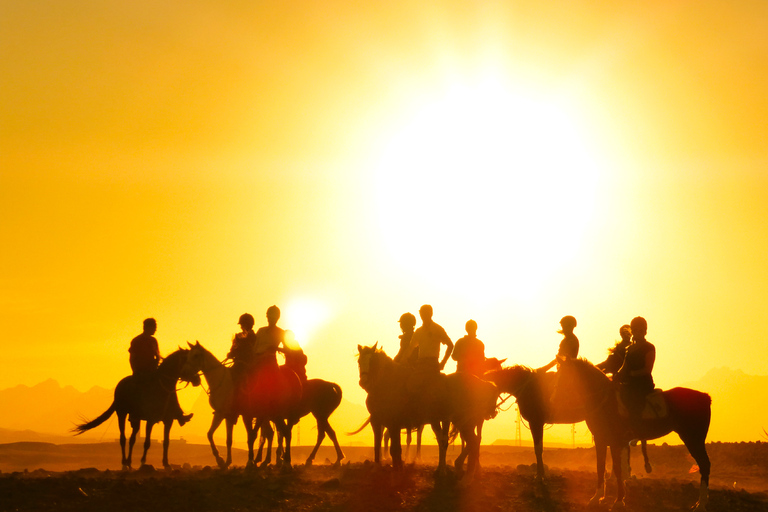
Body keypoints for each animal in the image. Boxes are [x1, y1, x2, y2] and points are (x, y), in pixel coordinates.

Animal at [72, 350, 200, 470]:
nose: (197, 380)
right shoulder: (150, 420)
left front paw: (166, 464)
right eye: (189, 361)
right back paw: (124, 463)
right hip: (122, 413)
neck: (163, 388)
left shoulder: (168, 421)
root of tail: (119, 386)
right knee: (123, 438)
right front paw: (142, 462)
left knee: (132, 439)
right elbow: (147, 442)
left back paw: (129, 463)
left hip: (136, 418)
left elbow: (166, 442)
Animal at [548, 358, 712, 510]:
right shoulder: (601, 440)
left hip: (693, 438)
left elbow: (618, 469)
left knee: (704, 464)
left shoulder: (615, 442)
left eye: (565, 376)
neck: (606, 401)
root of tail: (705, 396)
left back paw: (701, 504)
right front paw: (596, 498)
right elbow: (600, 467)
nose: (553, 400)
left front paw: (619, 501)